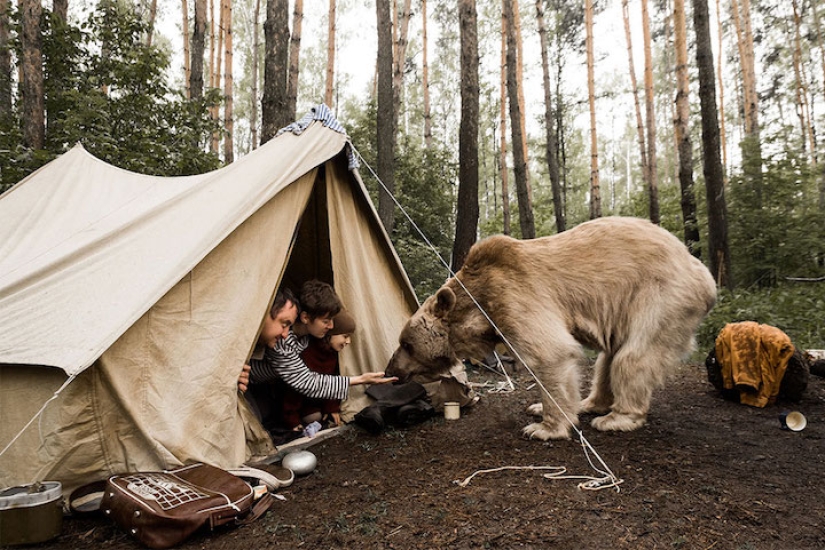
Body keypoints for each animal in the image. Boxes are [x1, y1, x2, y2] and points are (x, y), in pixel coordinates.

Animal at [385, 216, 717, 440]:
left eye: (406, 343)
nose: (391, 370)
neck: (478, 306)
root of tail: (703, 273)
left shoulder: (514, 296)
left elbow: (550, 353)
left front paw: (542, 427)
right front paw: (538, 409)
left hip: (660, 296)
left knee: (633, 357)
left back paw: (616, 418)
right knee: (608, 358)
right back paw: (590, 403)